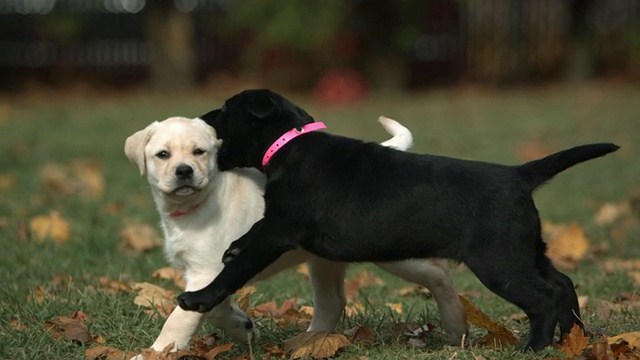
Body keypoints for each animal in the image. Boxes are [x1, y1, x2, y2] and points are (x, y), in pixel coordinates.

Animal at [125, 116, 464, 354]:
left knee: (439, 275)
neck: (197, 204)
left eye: (199, 152)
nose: (184, 171)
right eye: (163, 155)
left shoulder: (207, 272)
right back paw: (308, 341)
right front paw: (244, 328)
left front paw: (155, 352)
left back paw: (456, 328)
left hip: (391, 249)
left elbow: (180, 318)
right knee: (332, 301)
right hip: (325, 257)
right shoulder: (208, 274)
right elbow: (212, 308)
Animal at [178, 88, 616, 350]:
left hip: (499, 262)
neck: (292, 144)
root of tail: (519, 175)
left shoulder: (280, 228)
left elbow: (239, 266)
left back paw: (534, 347)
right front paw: (234, 247)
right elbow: (246, 242)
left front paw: (199, 298)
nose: (200, 118)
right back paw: (573, 339)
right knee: (562, 285)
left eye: (225, 110)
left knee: (543, 298)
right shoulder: (275, 225)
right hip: (527, 251)